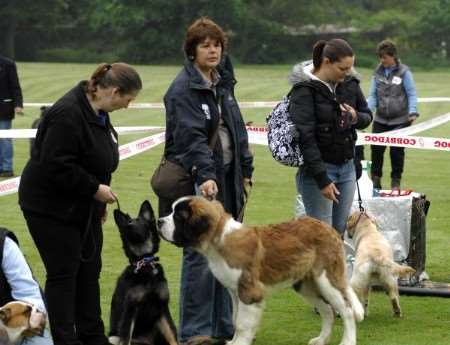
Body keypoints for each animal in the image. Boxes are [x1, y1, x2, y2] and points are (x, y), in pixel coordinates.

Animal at [109, 200, 178, 344]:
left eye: (141, 222)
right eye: (128, 222)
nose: (129, 226)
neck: (144, 262)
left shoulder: (162, 309)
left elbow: (173, 336)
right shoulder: (130, 310)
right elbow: (126, 338)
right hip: (113, 337)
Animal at [157, 196, 362, 344]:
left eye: (178, 216)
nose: (159, 221)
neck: (219, 239)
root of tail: (330, 229)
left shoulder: (249, 292)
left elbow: (242, 324)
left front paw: (240, 343)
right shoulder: (235, 292)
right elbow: (236, 319)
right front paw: (233, 342)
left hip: (327, 279)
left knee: (347, 310)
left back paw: (347, 341)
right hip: (305, 284)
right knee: (327, 311)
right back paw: (321, 340)